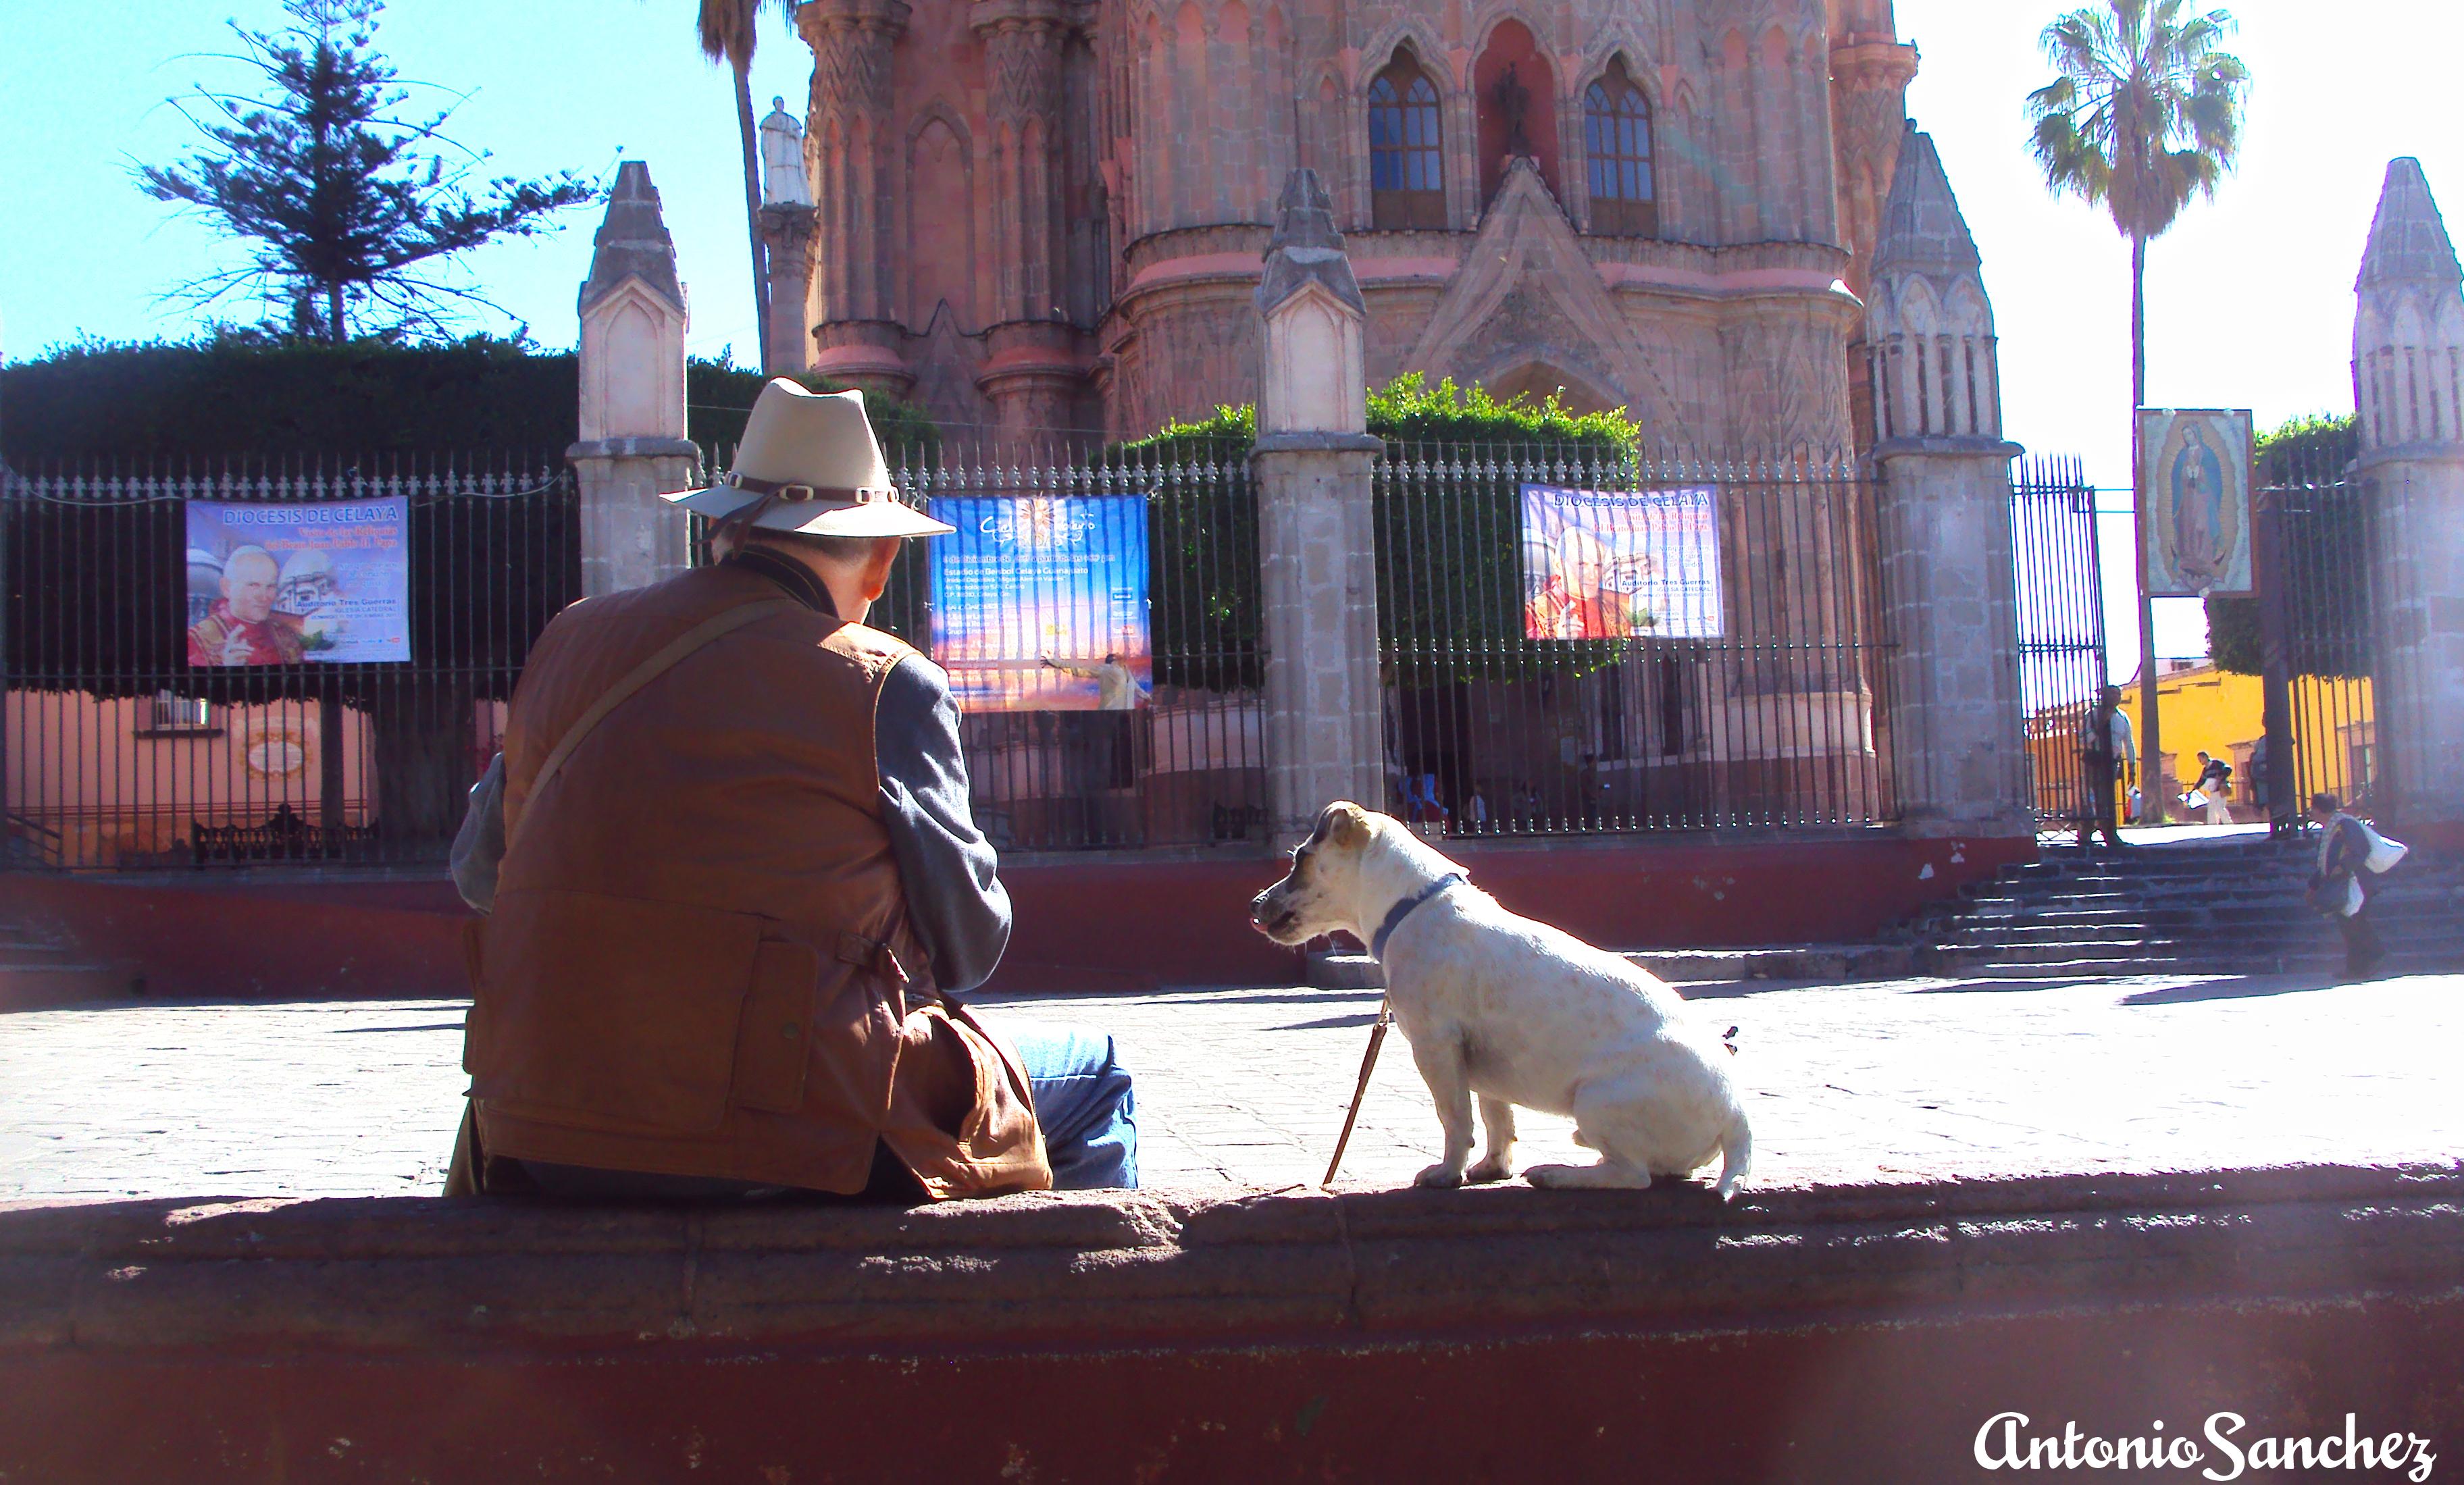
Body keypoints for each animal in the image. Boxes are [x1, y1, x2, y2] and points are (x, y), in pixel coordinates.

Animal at [1252, 802, 1754, 1197]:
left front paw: (1447, 1173)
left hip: (1596, 1100)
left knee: (1632, 1175)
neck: (1412, 907)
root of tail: (1737, 1115)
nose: (1255, 906)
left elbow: (1456, 1119)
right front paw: (1492, 1169)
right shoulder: (1482, 1068)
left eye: (1300, 858)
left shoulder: (1435, 1048)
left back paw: (1557, 1173)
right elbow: (1497, 1119)